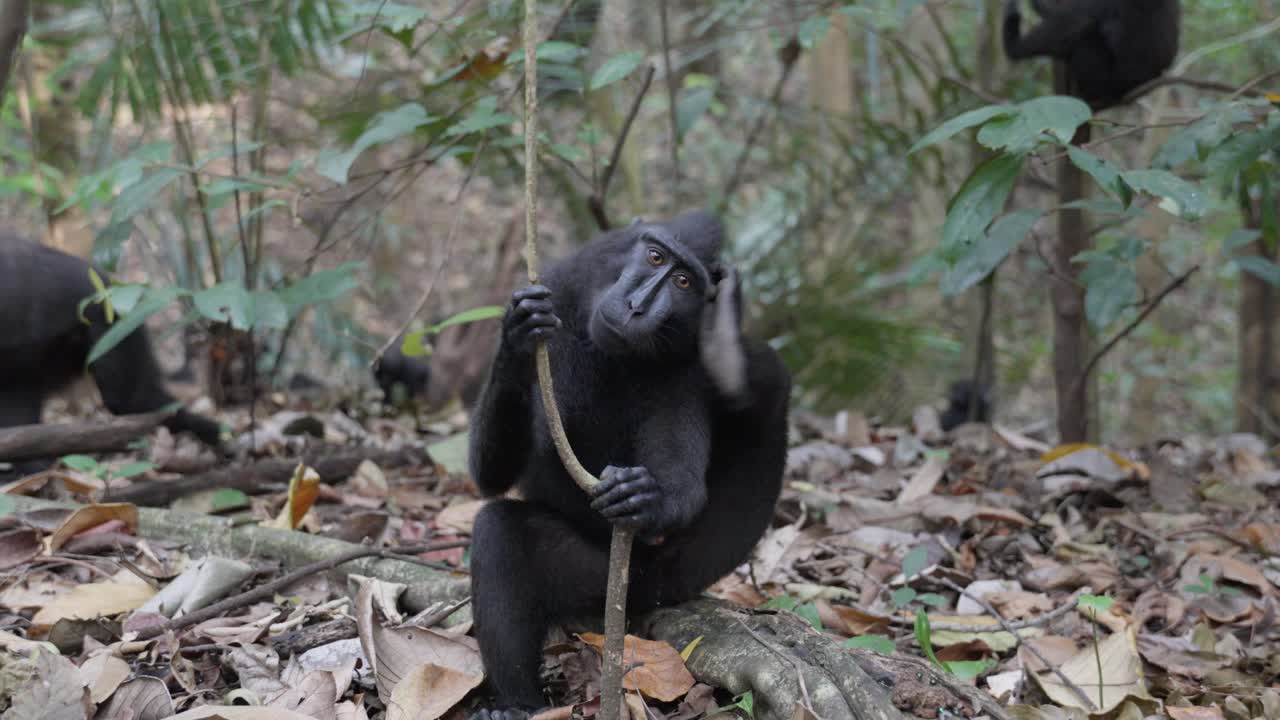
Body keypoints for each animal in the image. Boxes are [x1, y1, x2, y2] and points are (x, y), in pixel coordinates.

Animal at [466, 211, 791, 720]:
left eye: (683, 281)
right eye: (654, 255)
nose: (639, 304)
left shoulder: (686, 370)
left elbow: (683, 486)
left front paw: (645, 497)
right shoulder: (561, 287)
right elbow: (490, 474)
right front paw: (518, 332)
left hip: (635, 580)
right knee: (498, 530)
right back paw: (516, 705)